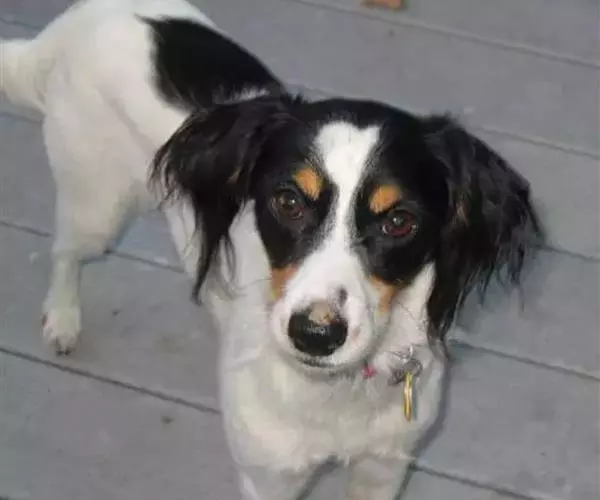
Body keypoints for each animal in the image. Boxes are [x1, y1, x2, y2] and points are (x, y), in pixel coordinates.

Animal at [0, 0, 543, 498]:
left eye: (399, 222)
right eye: (287, 201)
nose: (316, 335)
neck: (339, 392)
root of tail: (74, 21)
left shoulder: (384, 467)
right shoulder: (268, 479)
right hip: (97, 207)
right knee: (64, 252)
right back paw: (62, 318)